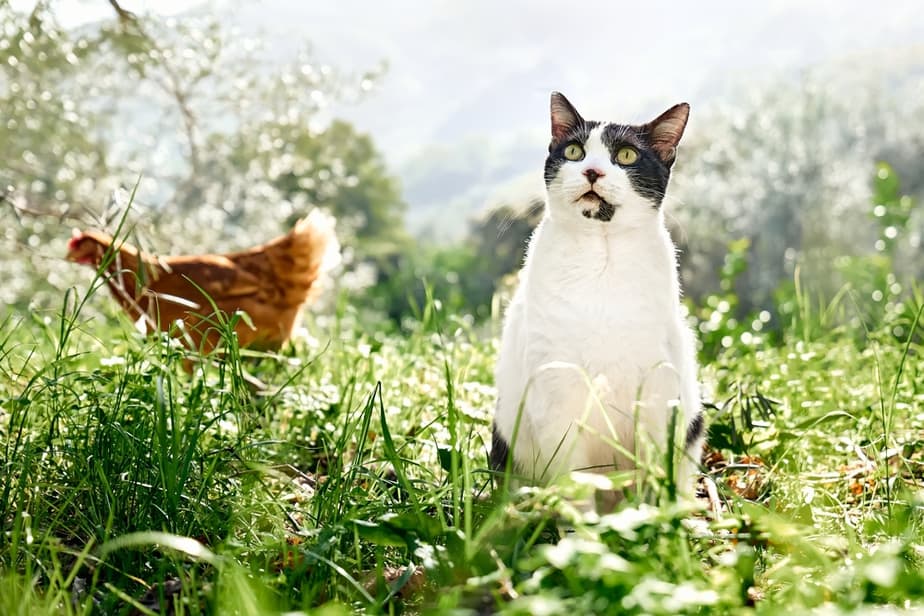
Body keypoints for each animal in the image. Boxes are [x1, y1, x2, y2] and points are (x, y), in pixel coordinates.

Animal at [494, 91, 704, 502]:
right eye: (574, 151)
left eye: (626, 155)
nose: (593, 171)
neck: (601, 258)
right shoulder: (557, 390)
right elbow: (574, 486)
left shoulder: (656, 394)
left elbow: (654, 474)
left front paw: (653, 517)